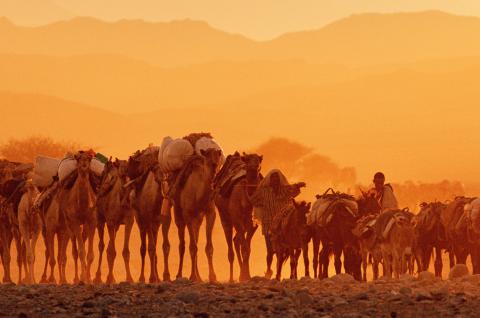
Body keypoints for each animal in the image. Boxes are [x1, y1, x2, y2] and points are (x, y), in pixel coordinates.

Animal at [57, 152, 96, 284]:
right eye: (78, 159)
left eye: (89, 159)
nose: (84, 164)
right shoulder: (75, 221)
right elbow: (81, 251)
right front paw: (83, 278)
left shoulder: (91, 221)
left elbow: (90, 254)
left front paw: (89, 278)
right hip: (68, 224)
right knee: (74, 251)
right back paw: (76, 279)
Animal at [126, 150, 172, 284]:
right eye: (154, 169)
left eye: (165, 170)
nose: (162, 179)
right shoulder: (147, 220)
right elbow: (150, 248)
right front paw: (152, 278)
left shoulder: (165, 221)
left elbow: (165, 246)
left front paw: (166, 276)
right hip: (140, 220)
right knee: (143, 248)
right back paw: (142, 278)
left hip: (154, 225)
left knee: (154, 245)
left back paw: (158, 277)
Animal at [173, 148, 222, 282]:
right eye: (207, 159)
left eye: (218, 157)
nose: (214, 166)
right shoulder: (188, 214)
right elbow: (192, 247)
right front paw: (192, 276)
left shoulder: (211, 213)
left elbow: (208, 247)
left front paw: (213, 276)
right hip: (178, 214)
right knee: (182, 244)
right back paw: (179, 275)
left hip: (198, 220)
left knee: (196, 237)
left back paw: (199, 276)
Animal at [216, 153, 262, 282]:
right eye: (247, 160)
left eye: (259, 160)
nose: (255, 166)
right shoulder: (237, 219)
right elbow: (245, 247)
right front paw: (244, 276)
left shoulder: (253, 224)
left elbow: (247, 248)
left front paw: (246, 275)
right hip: (224, 217)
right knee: (230, 245)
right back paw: (231, 278)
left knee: (236, 240)